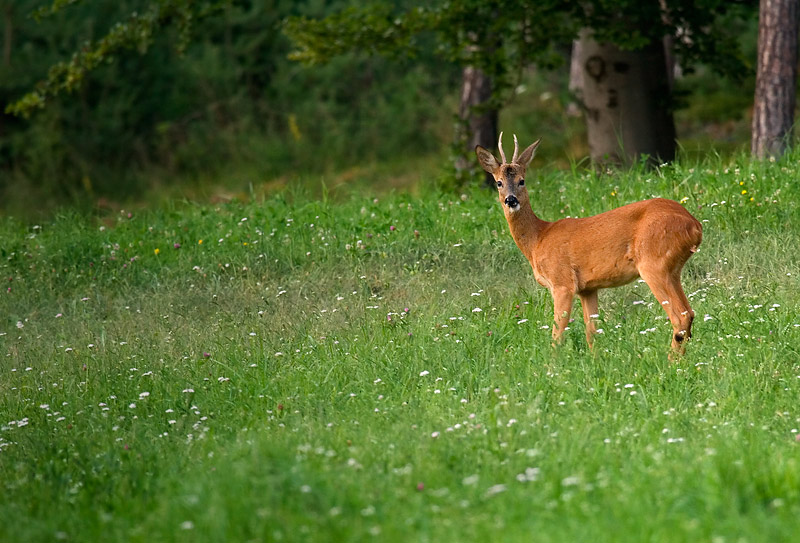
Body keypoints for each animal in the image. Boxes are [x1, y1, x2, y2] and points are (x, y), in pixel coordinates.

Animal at [476, 134, 700, 354]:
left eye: (522, 180)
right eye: (498, 183)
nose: (511, 200)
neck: (538, 239)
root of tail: (694, 225)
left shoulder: (562, 282)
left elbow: (557, 334)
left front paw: (552, 364)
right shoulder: (588, 289)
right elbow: (592, 332)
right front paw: (595, 360)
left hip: (653, 263)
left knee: (680, 316)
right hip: (672, 269)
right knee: (689, 313)